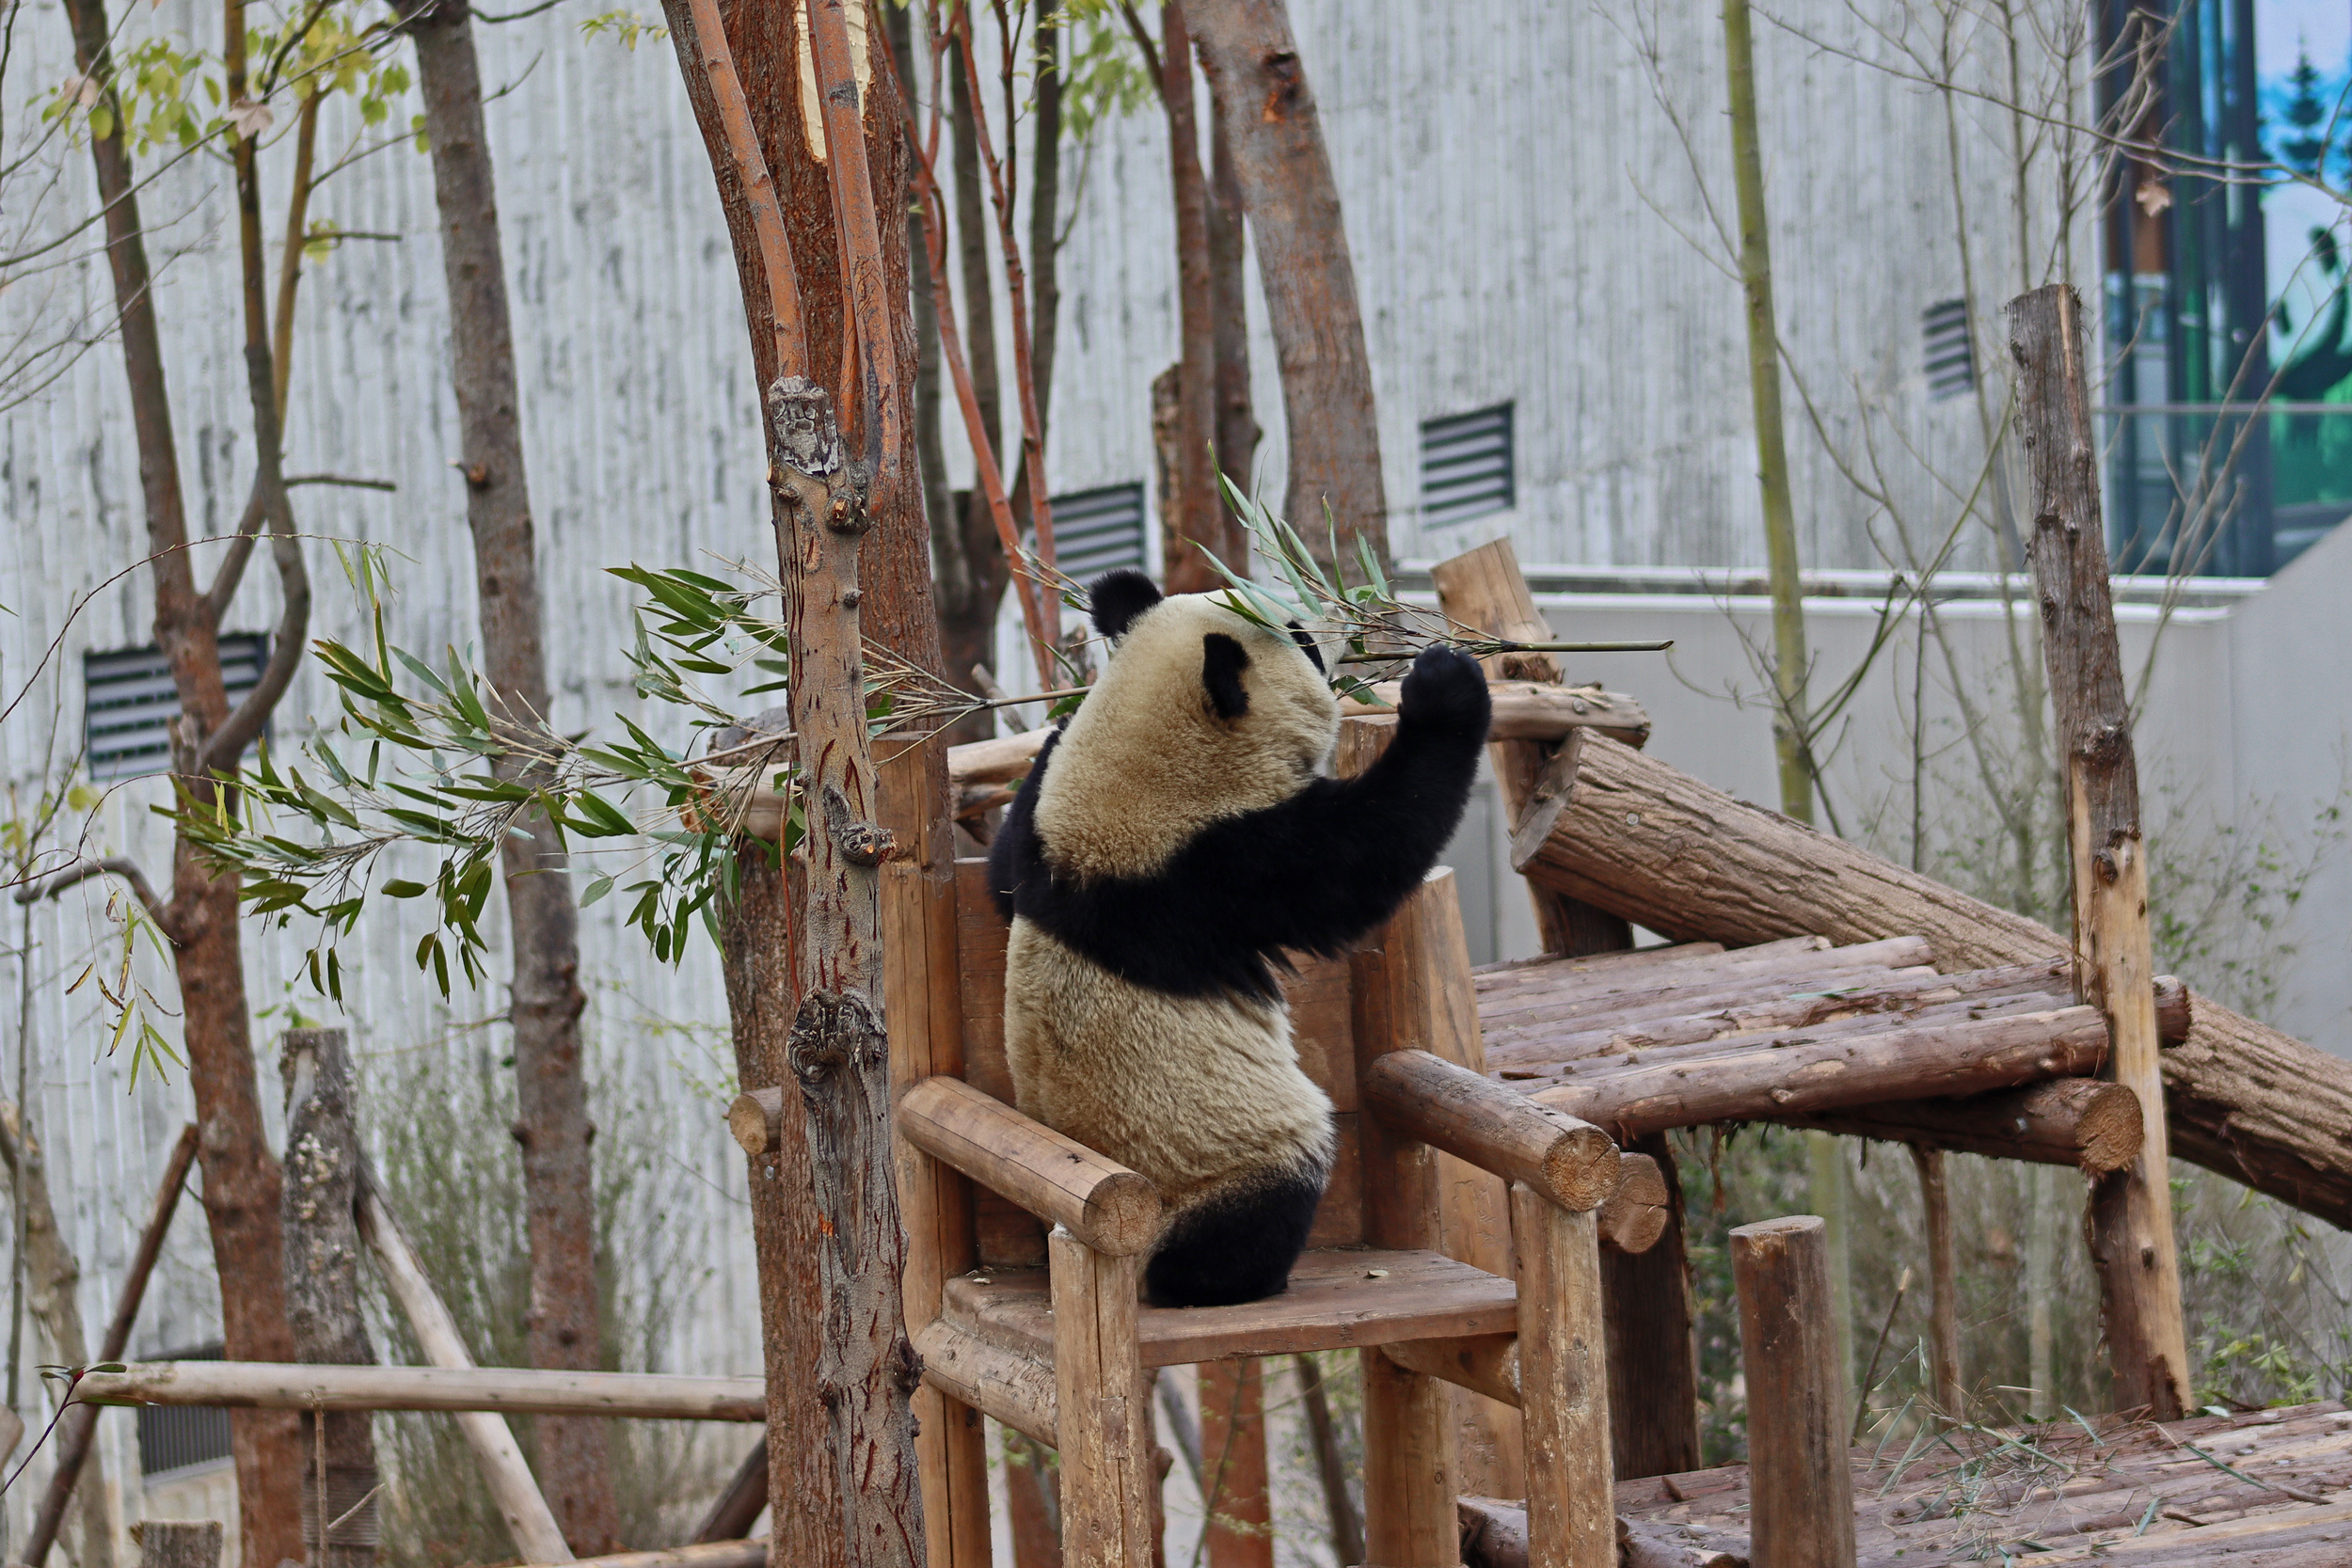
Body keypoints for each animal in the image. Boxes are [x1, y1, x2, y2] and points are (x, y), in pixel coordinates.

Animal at [987, 568, 1492, 1308]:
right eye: (1303, 639)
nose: (1341, 621)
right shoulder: (1220, 864)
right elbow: (1366, 855)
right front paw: (1443, 681)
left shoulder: (1040, 847)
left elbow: (1002, 871)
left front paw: (1052, 727)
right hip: (1229, 1154)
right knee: (1256, 1206)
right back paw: (1234, 1278)